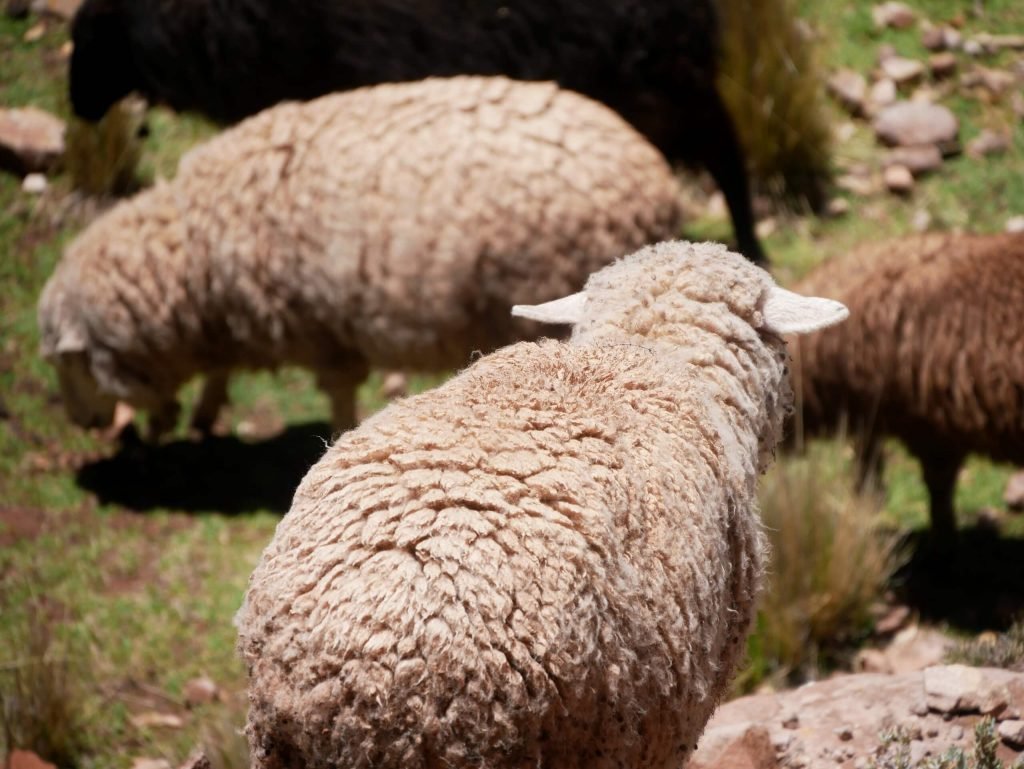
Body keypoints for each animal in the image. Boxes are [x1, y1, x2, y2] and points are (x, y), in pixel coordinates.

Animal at [37, 75, 688, 442]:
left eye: (70, 363)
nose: (83, 425)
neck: (197, 256)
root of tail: (659, 185)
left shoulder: (323, 329)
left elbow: (339, 393)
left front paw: (334, 435)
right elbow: (220, 372)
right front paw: (202, 414)